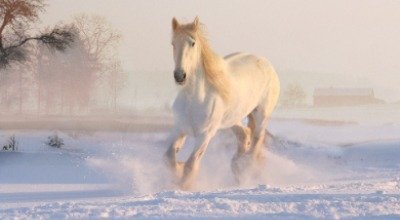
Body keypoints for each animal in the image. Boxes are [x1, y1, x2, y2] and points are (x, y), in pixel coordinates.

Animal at [164, 17, 280, 189]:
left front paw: (183, 186)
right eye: (173, 43)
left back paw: (245, 170)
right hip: (232, 119)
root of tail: (266, 63)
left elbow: (190, 165)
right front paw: (177, 169)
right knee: (244, 135)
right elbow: (169, 157)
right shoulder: (180, 129)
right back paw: (237, 167)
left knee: (256, 142)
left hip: (261, 115)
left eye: (193, 43)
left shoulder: (205, 135)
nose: (180, 75)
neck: (194, 100)